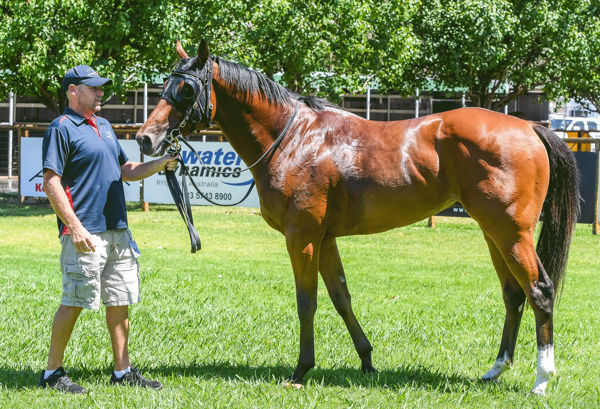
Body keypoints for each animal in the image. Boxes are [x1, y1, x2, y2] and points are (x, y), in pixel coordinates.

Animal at [137, 39, 580, 394]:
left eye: (186, 88)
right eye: (163, 86)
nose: (145, 138)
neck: (293, 139)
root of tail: (528, 127)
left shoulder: (302, 236)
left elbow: (308, 302)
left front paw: (301, 370)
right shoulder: (325, 238)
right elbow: (341, 297)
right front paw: (366, 360)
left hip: (511, 233)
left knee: (539, 291)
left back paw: (542, 380)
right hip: (493, 233)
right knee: (513, 294)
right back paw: (496, 370)